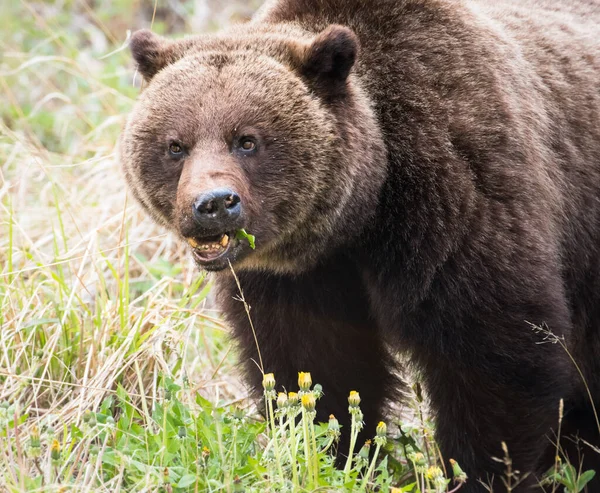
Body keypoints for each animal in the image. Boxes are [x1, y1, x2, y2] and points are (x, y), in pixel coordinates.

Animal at [117, 0, 600, 488]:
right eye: (175, 145)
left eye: (247, 140)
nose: (213, 204)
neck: (365, 214)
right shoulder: (298, 277)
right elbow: (316, 368)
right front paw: (336, 452)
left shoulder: (460, 203)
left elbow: (495, 359)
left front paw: (480, 471)